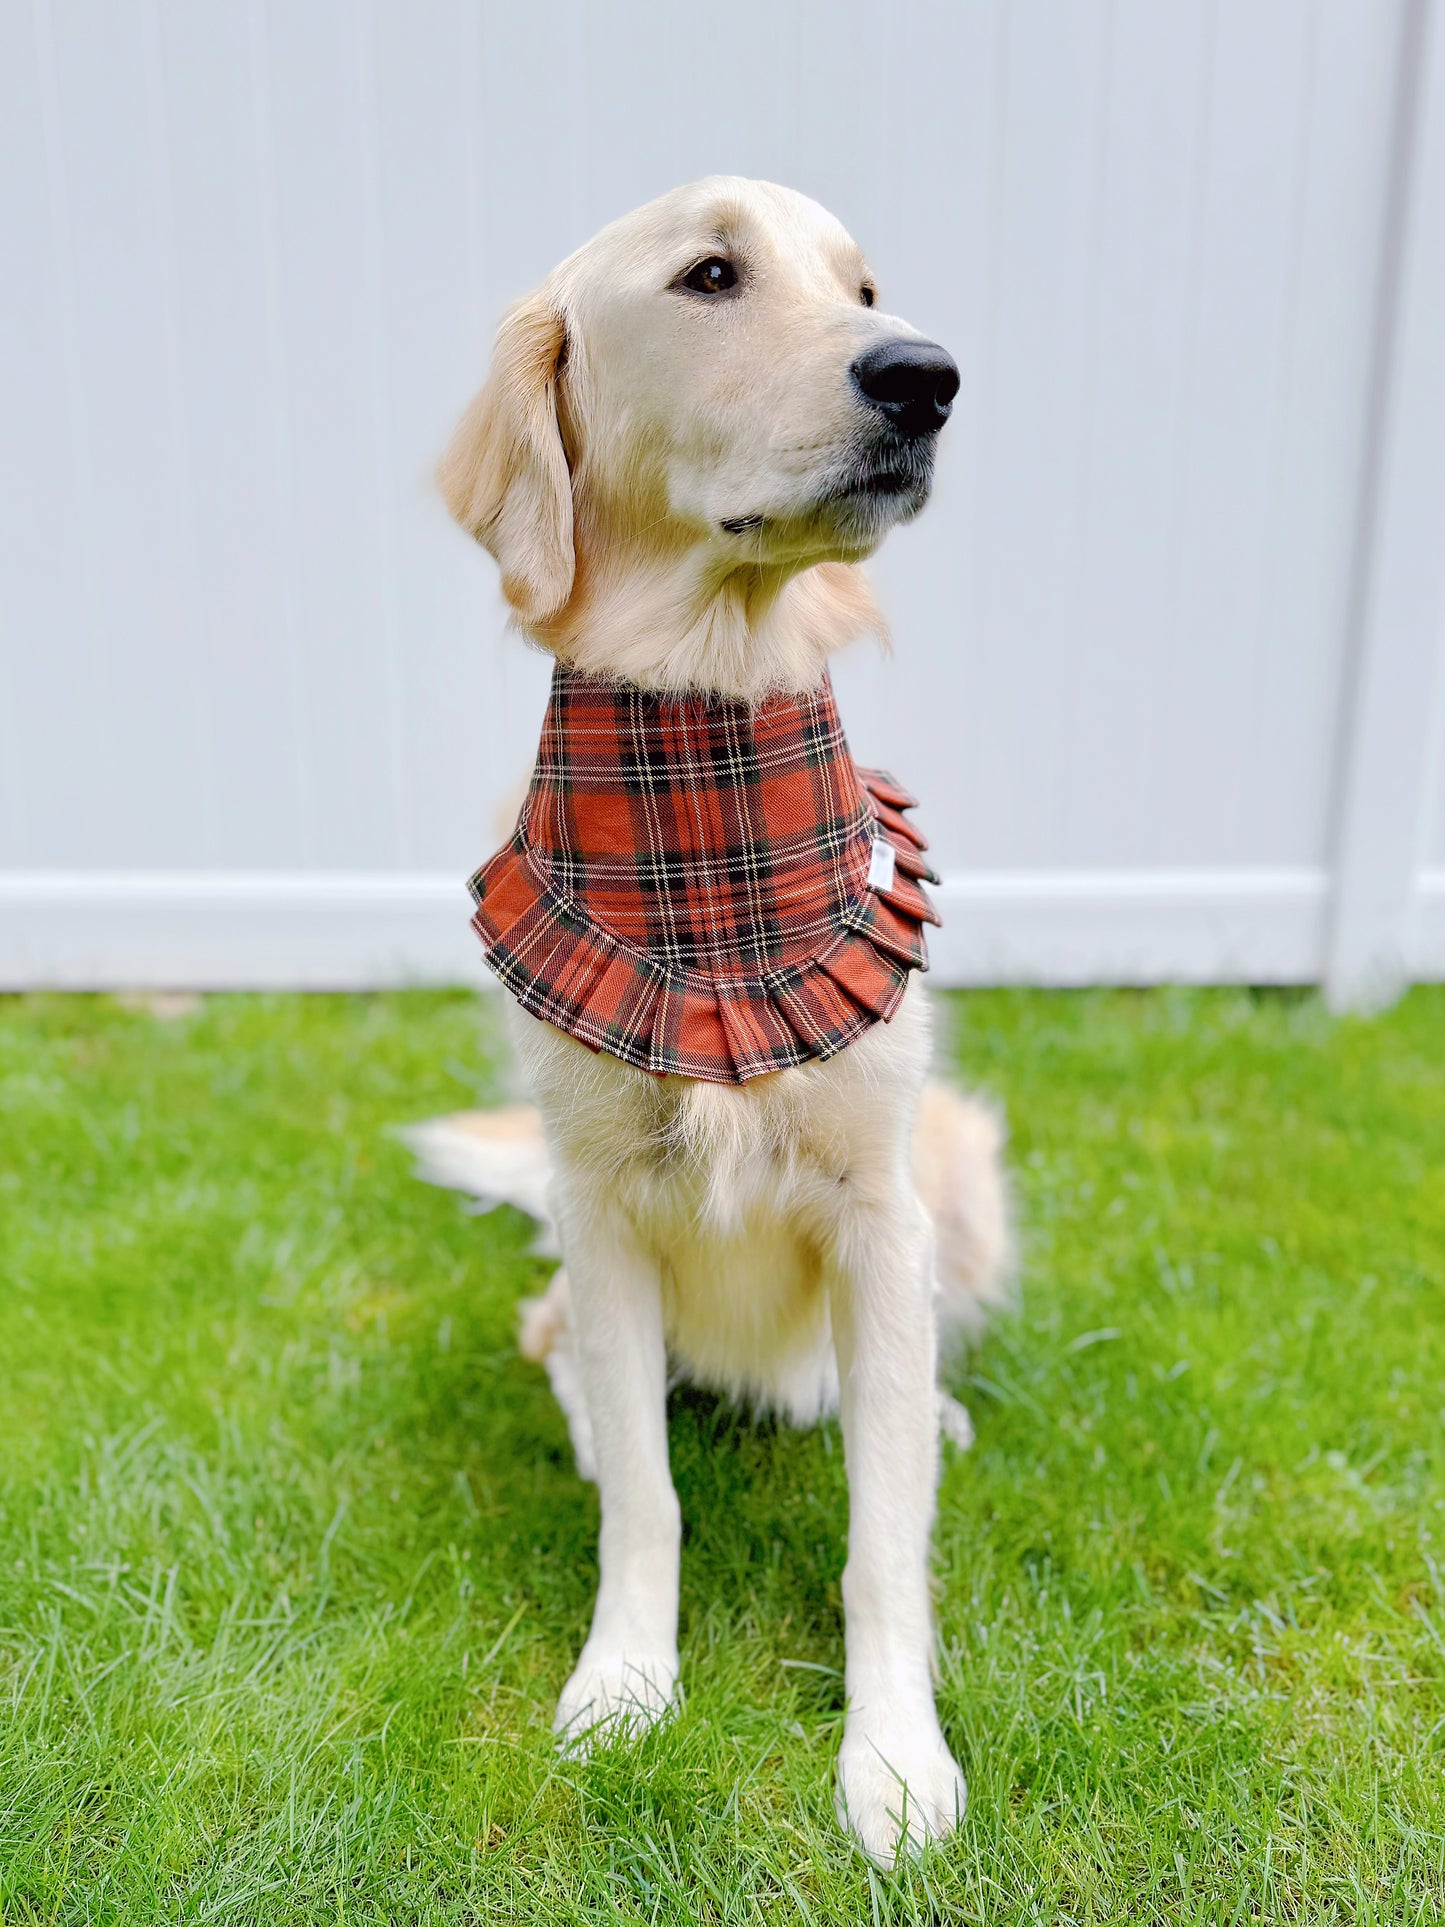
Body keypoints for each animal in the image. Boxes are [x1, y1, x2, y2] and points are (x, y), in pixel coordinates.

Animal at [408, 181, 1009, 1865]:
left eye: (864, 288)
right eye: (710, 276)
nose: (926, 376)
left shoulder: (879, 1205)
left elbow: (884, 1544)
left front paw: (893, 1759)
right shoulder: (604, 1202)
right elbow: (647, 1500)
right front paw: (624, 1683)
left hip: (961, 1169)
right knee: (552, 1340)